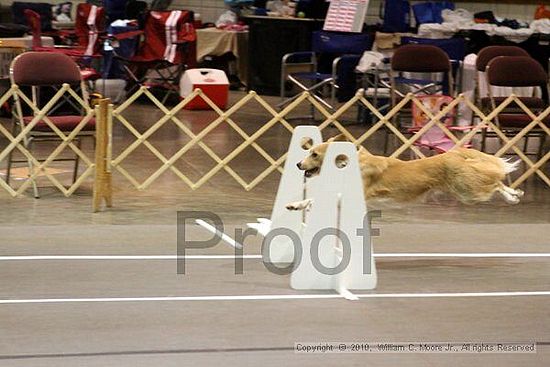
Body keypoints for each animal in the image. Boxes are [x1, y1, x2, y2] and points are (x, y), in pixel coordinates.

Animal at [288, 134, 528, 210]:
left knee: (495, 184)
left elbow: (318, 199)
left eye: (314, 154)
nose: (298, 165)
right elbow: (314, 197)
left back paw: (513, 196)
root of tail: (456, 154)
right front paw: (295, 205)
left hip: (467, 191)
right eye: (309, 152)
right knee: (496, 182)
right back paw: (514, 195)